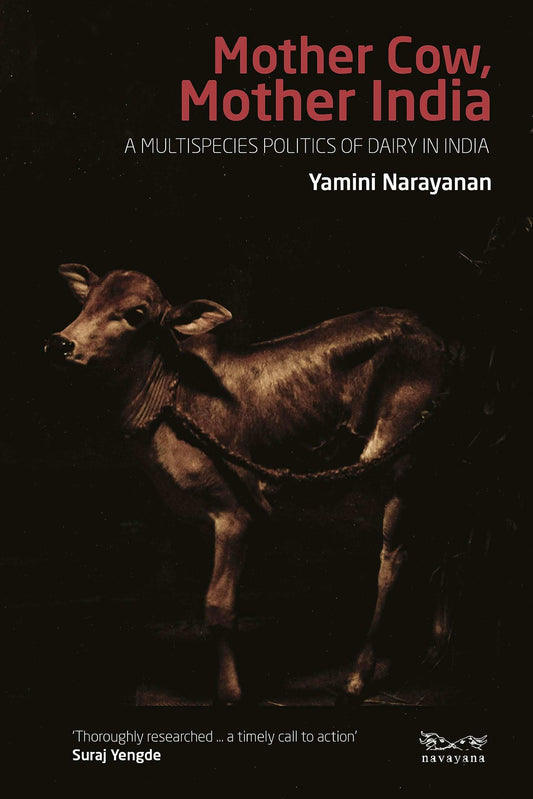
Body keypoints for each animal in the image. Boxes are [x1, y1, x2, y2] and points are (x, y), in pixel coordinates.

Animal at [45, 263, 453, 706]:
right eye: (87, 300)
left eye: (136, 313)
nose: (61, 343)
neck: (168, 404)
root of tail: (431, 334)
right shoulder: (188, 513)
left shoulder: (235, 510)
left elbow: (218, 606)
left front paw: (230, 691)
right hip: (428, 464)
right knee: (443, 535)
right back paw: (437, 644)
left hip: (401, 460)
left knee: (394, 557)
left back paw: (358, 677)